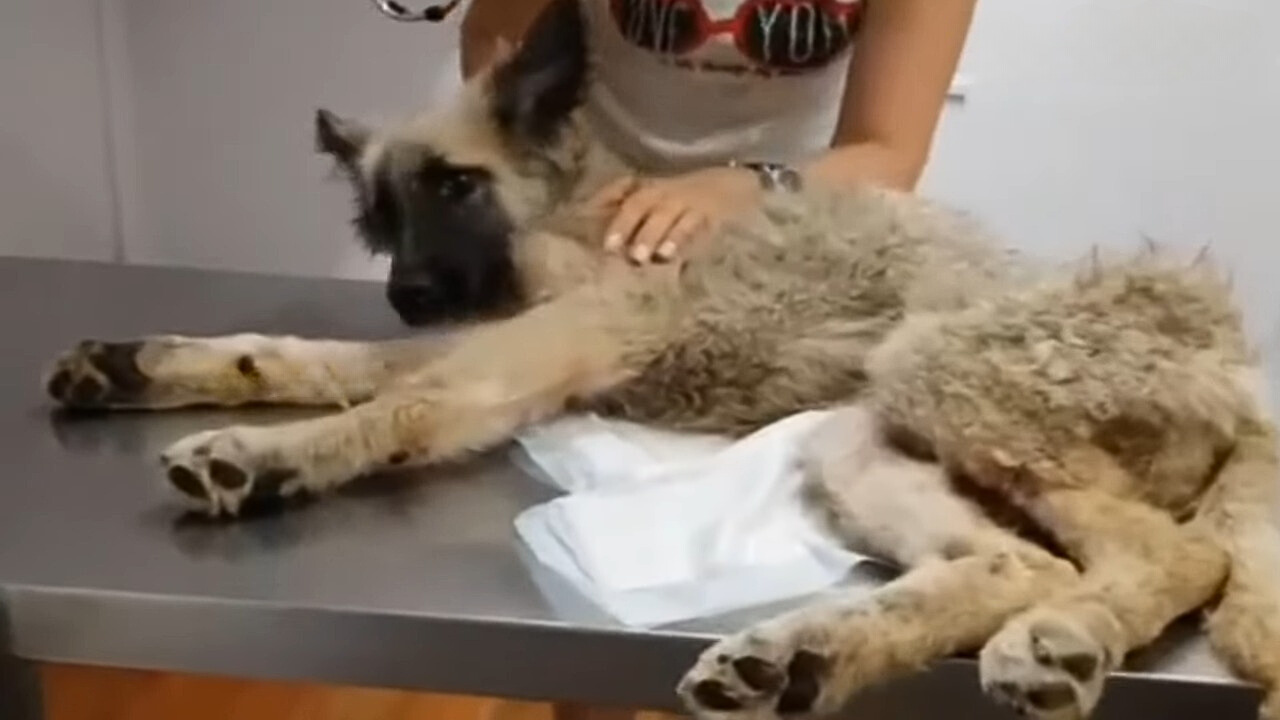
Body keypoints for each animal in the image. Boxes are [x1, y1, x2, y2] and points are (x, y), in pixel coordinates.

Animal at [40, 0, 1280, 712]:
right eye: (380, 215)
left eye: (455, 187)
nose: (407, 294)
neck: (569, 210)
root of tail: (1232, 364)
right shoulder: (498, 340)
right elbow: (305, 355)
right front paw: (146, 366)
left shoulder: (516, 355)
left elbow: (392, 406)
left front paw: (261, 457)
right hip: (858, 440)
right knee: (1012, 561)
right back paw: (803, 660)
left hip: (948, 375)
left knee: (1169, 556)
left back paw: (1059, 644)